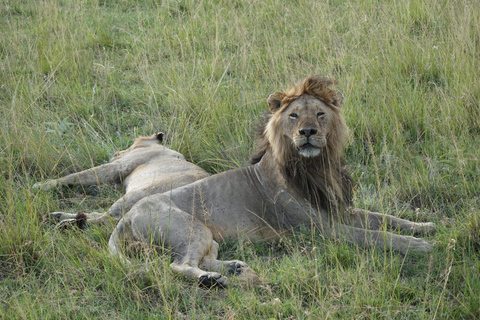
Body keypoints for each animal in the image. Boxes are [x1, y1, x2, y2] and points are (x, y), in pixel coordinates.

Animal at [34, 131, 210, 226]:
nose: (116, 153)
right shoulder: (118, 182)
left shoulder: (117, 168)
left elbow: (78, 175)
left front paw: (42, 185)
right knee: (102, 214)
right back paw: (56, 216)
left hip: (139, 194)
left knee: (108, 219)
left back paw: (67, 224)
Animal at [108, 75, 436, 288]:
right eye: (293, 116)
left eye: (320, 114)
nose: (308, 132)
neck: (314, 167)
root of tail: (128, 216)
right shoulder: (321, 229)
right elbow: (375, 235)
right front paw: (420, 245)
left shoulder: (338, 209)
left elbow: (385, 218)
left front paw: (424, 226)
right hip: (191, 228)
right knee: (180, 264)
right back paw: (212, 280)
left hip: (209, 237)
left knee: (202, 258)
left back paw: (232, 268)